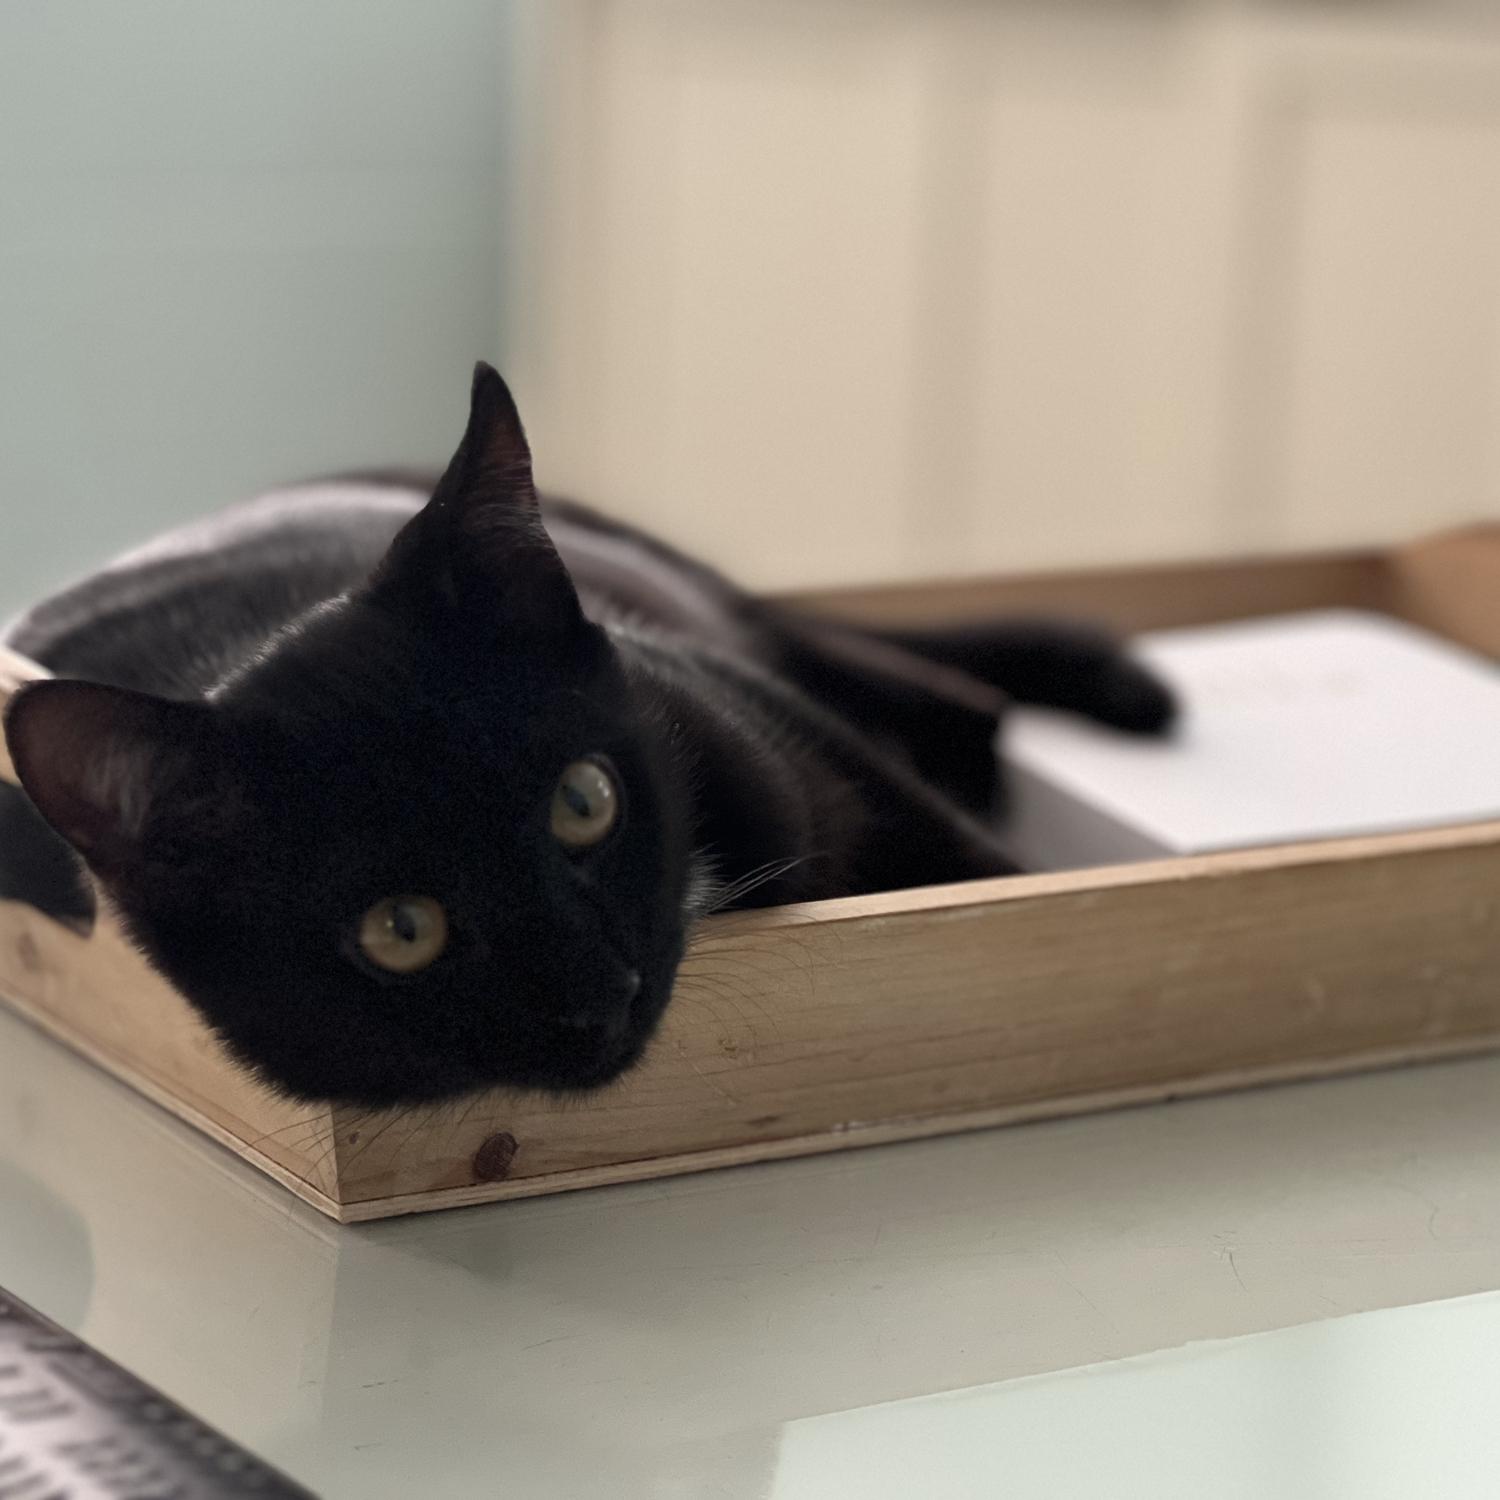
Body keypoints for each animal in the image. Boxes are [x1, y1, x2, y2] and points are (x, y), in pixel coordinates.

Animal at [0, 365, 1173, 1107]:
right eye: (399, 930)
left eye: (583, 801)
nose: (601, 991)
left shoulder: (760, 722)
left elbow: (990, 869)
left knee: (936, 690)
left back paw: (1116, 688)